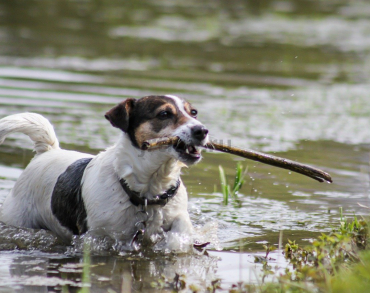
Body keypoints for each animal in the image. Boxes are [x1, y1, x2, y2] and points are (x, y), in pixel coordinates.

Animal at [0, 94, 210, 248]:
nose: (202, 130)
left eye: (193, 113)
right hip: (18, 219)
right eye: (164, 114)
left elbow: (181, 228)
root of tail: (48, 151)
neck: (148, 191)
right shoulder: (97, 237)